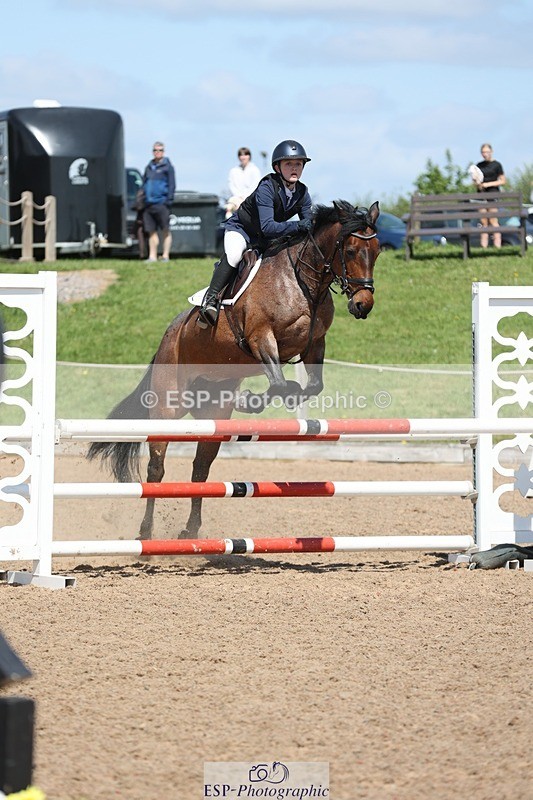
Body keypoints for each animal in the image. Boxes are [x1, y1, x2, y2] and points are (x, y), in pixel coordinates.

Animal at [88, 199, 381, 539]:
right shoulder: (260, 337)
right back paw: (146, 532)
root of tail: (167, 337)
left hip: (212, 417)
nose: (363, 305)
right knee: (156, 469)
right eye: (351, 251)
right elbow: (281, 383)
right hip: (166, 410)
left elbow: (311, 386)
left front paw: (255, 400)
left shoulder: (314, 345)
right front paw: (258, 400)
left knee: (200, 470)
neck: (303, 284)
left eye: (377, 251)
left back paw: (190, 531)